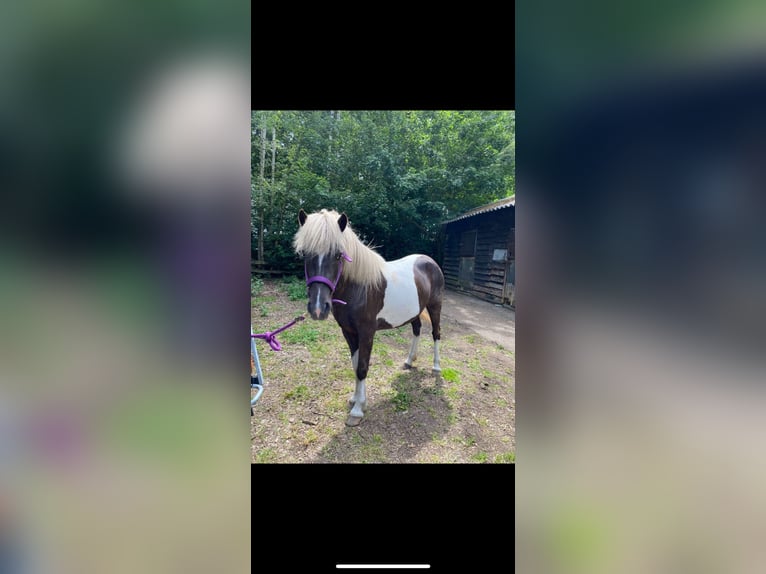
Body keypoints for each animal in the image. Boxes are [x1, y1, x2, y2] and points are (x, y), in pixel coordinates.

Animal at [294, 208, 445, 426]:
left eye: (338, 255)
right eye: (305, 254)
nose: (318, 308)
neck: (359, 288)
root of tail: (429, 261)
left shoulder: (367, 333)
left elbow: (363, 367)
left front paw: (357, 410)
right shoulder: (348, 332)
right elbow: (355, 365)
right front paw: (356, 399)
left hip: (435, 307)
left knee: (436, 334)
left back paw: (436, 367)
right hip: (414, 312)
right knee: (417, 330)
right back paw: (409, 361)